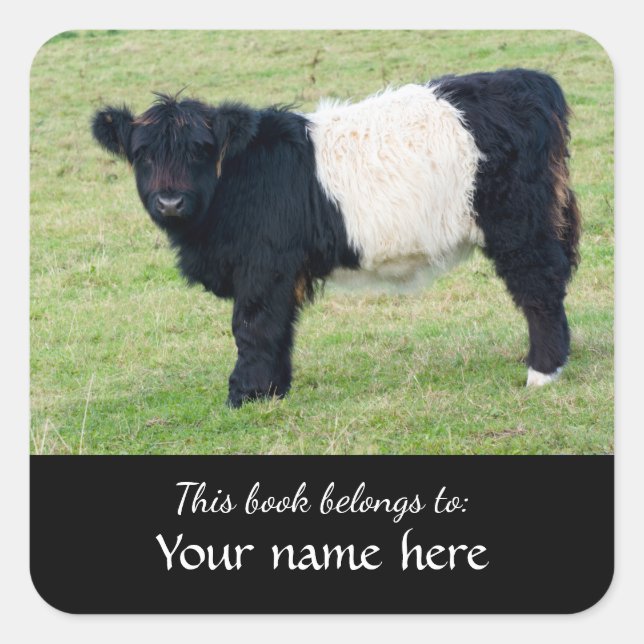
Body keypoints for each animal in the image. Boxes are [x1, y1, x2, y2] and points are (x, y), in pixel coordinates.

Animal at [92, 68, 581, 408]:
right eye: (142, 154)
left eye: (201, 150)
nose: (170, 201)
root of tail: (528, 80)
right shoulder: (279, 273)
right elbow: (279, 329)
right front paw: (273, 391)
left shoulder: (263, 268)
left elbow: (253, 328)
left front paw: (244, 394)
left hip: (519, 227)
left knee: (539, 290)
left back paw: (541, 372)